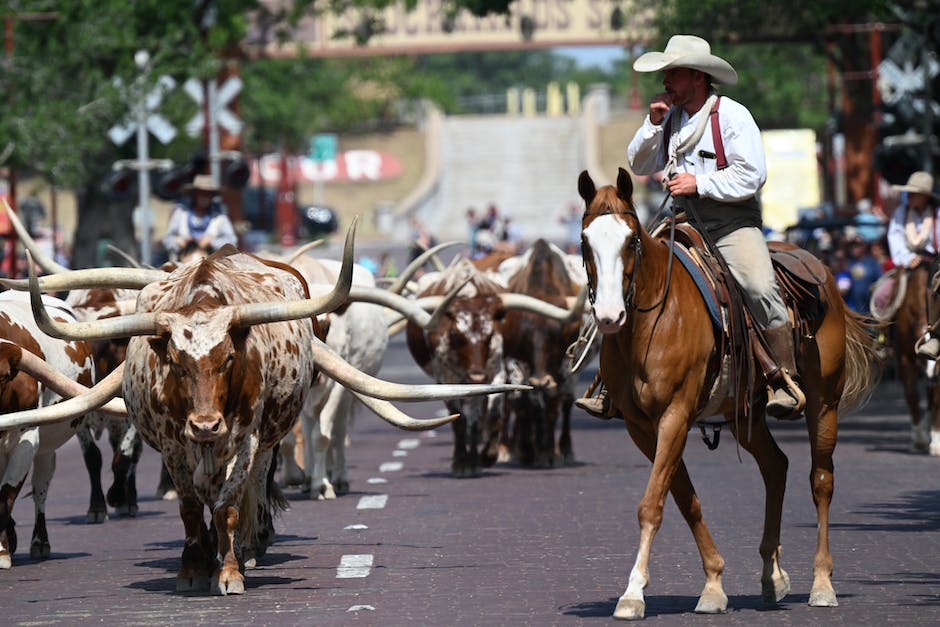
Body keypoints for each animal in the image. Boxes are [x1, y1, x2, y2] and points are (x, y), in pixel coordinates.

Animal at [580, 168, 880, 624]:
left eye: (631, 240)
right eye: (585, 242)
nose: (609, 316)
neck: (650, 324)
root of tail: (820, 268)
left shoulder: (675, 415)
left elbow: (652, 504)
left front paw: (632, 594)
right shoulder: (642, 427)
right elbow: (683, 499)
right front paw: (713, 584)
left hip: (823, 402)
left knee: (821, 480)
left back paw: (821, 583)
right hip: (748, 414)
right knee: (775, 466)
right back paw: (772, 576)